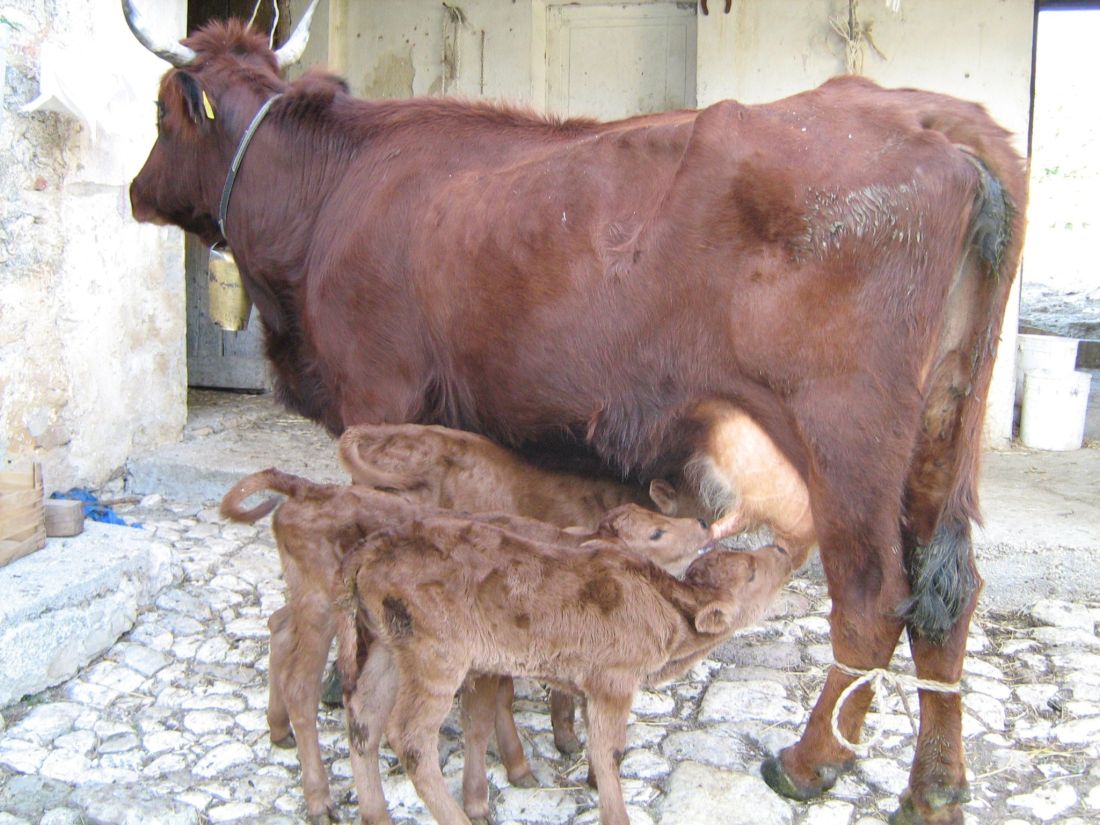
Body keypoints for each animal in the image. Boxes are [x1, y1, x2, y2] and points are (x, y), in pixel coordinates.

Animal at [218, 468, 708, 822]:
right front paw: (506, 778)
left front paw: (569, 746)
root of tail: (306, 488)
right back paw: (319, 797)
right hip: (328, 609)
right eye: (656, 534)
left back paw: (279, 729)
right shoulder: (493, 655)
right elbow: (488, 714)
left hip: (323, 608)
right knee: (305, 687)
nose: (702, 523)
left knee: (281, 629)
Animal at [334, 517, 792, 825]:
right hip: (436, 658)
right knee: (410, 737)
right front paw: (614, 811)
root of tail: (375, 544)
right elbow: (611, 750)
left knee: (364, 719)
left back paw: (377, 814)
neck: (662, 602)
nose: (782, 551)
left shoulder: (591, 686)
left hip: (389, 649)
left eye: (745, 558)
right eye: (752, 572)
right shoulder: (613, 681)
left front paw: (590, 778)